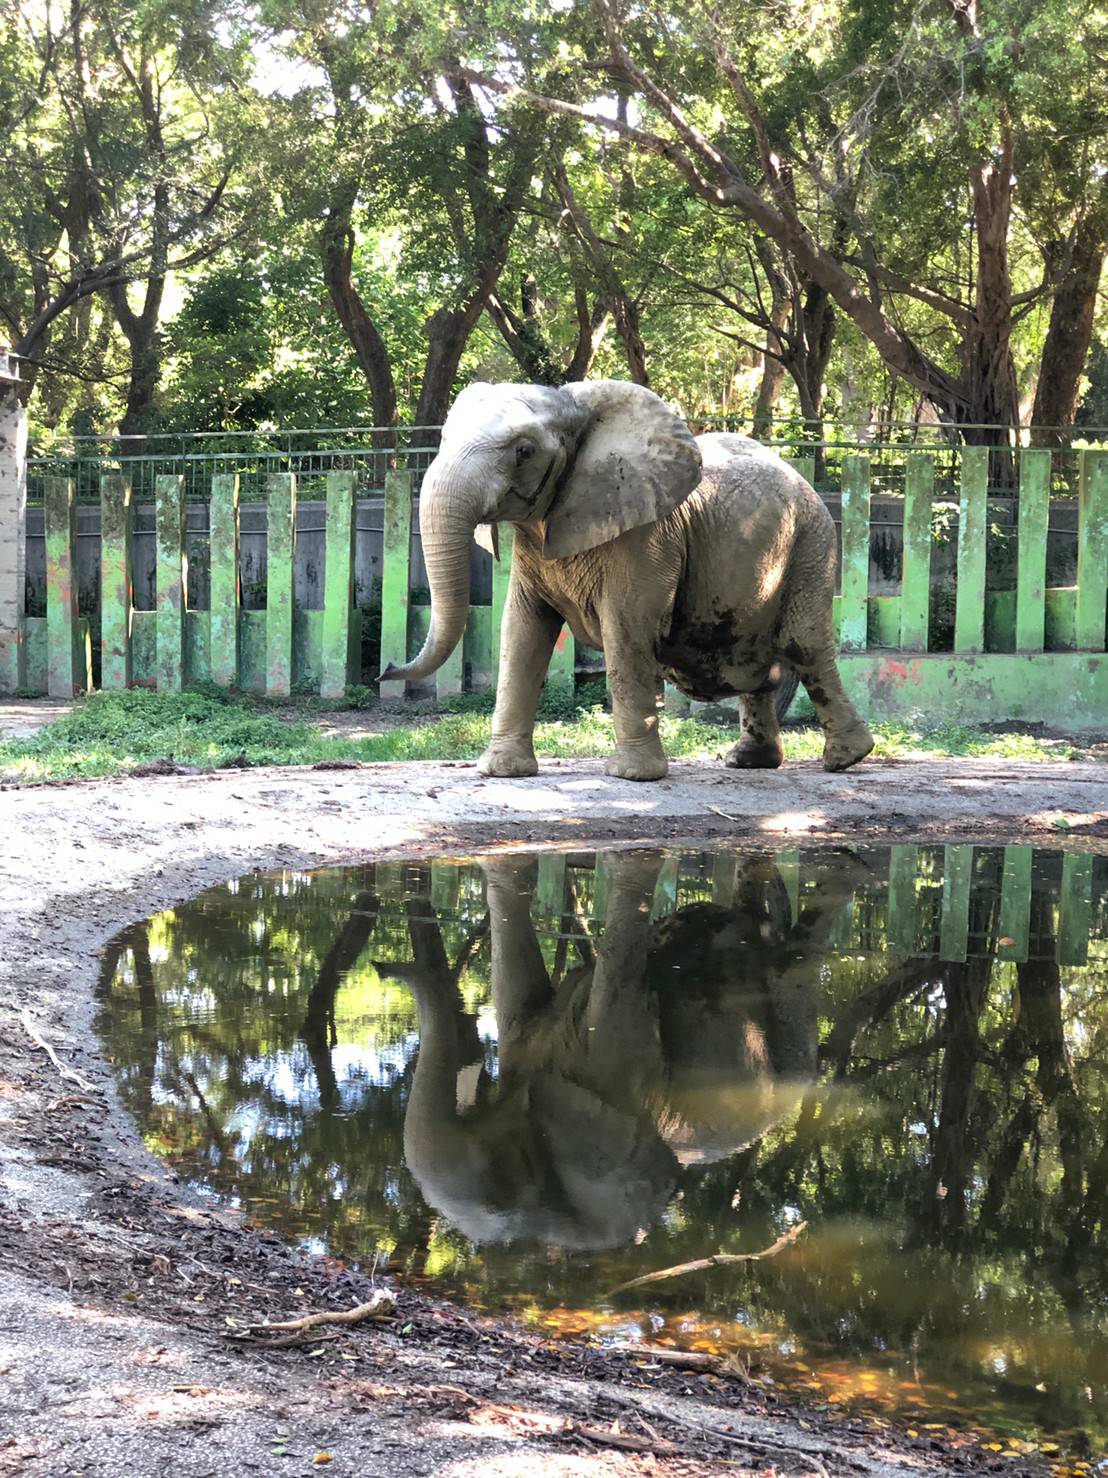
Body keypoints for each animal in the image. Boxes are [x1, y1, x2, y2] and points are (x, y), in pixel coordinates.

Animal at [381, 381, 874, 786]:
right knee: (764, 670)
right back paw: (749, 762)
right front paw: (502, 772)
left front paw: (632, 776)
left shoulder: (646, 536)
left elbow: (625, 630)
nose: (384, 669)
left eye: (523, 452)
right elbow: (522, 631)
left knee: (803, 646)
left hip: (812, 543)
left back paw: (846, 759)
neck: (574, 407)